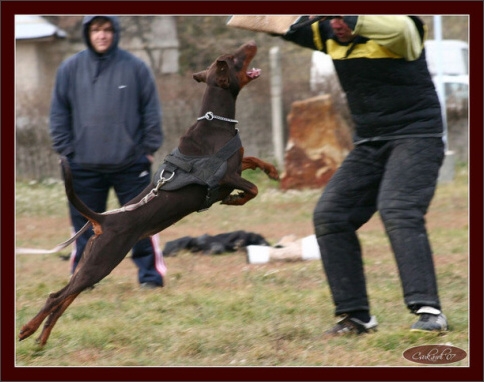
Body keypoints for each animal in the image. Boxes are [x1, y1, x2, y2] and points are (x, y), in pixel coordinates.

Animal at [18, 39, 278, 346]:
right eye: (236, 57)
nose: (251, 42)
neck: (216, 121)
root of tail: (102, 220)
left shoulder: (235, 166)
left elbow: (253, 161)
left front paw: (272, 170)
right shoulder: (225, 176)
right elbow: (252, 188)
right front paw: (235, 199)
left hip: (91, 263)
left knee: (64, 299)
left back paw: (42, 337)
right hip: (102, 261)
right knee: (55, 297)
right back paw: (28, 329)